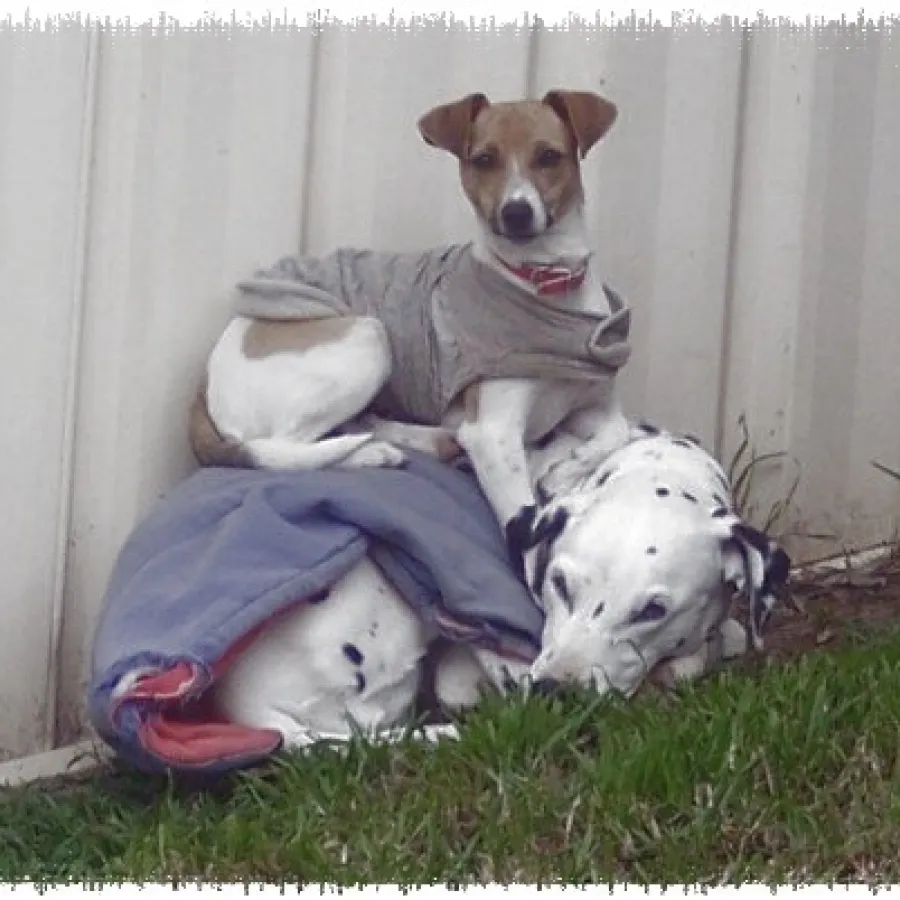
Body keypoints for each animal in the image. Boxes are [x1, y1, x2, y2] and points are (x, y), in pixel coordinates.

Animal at [192, 91, 632, 568]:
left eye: (549, 156)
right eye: (483, 159)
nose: (515, 213)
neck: (544, 286)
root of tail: (209, 377)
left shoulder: (586, 406)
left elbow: (619, 431)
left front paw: (569, 467)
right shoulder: (492, 434)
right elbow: (524, 524)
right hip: (369, 338)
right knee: (286, 447)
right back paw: (371, 452)